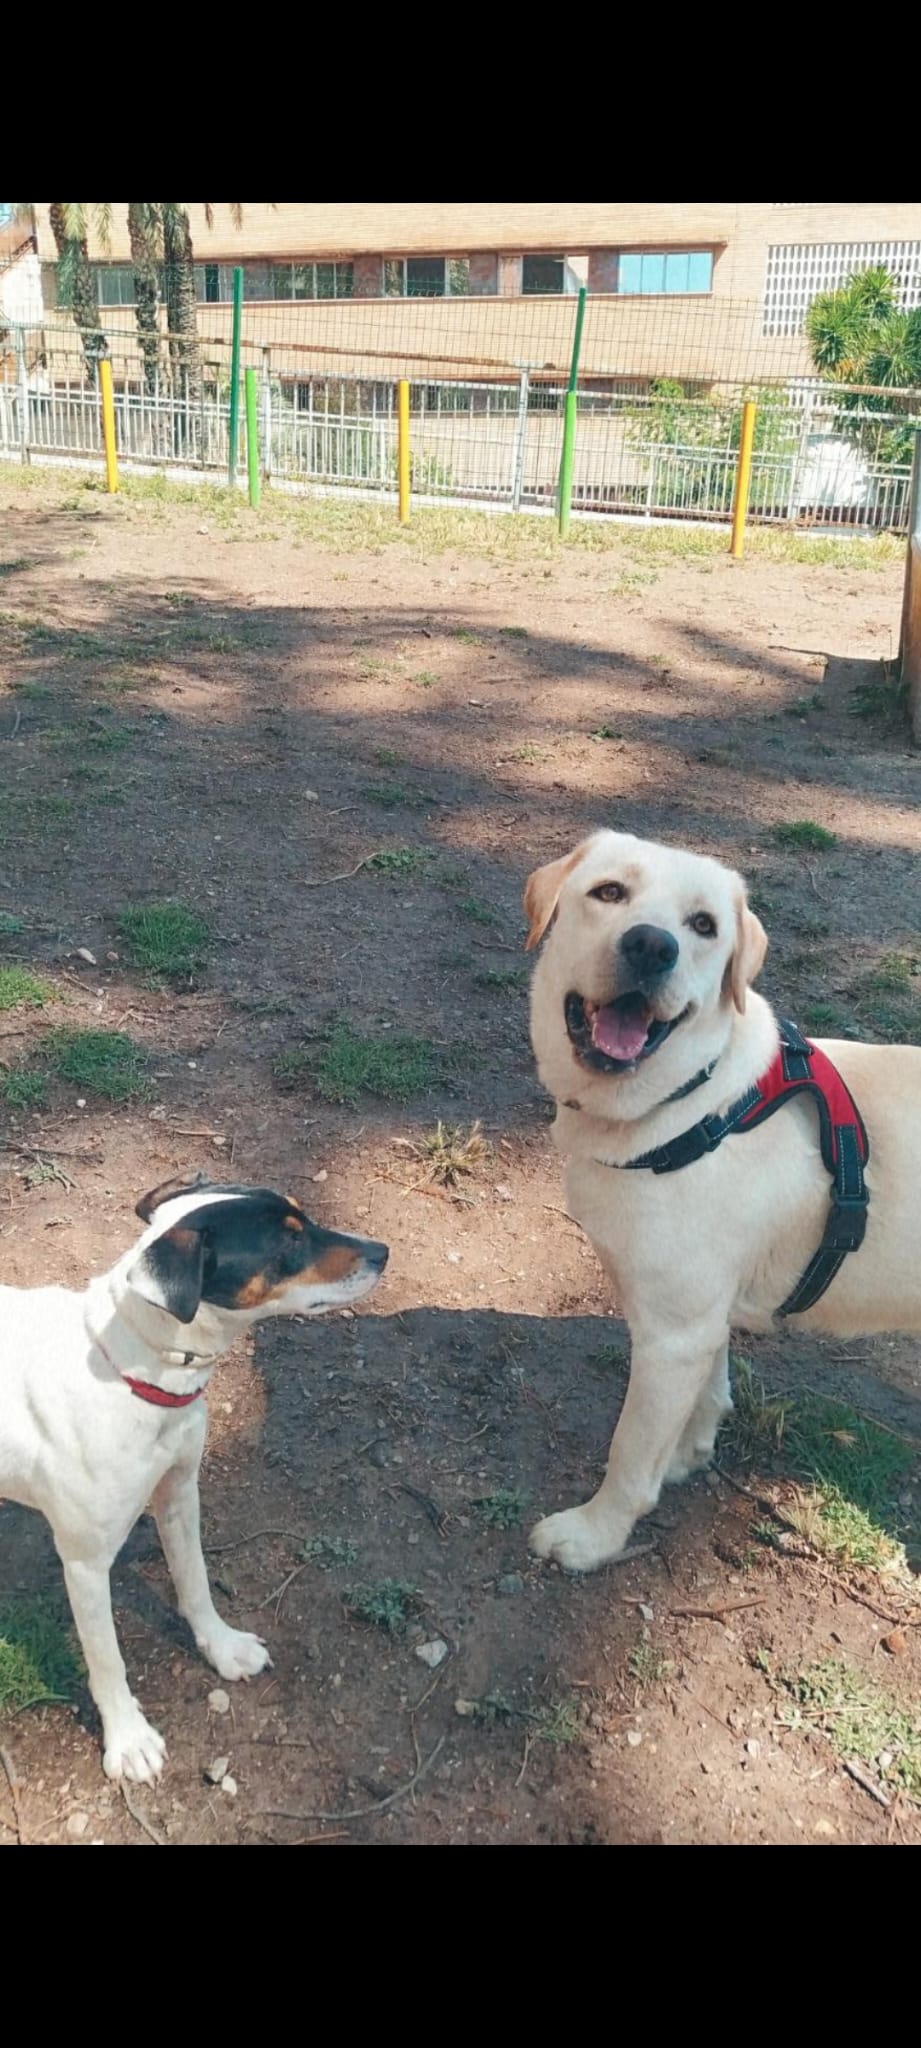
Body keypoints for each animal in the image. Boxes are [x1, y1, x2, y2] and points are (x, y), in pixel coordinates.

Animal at [0, 1179, 386, 1785]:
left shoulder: (180, 1494)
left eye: (304, 1220)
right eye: (288, 1241)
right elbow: (107, 1659)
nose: (382, 1252)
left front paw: (221, 1647)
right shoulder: (85, 1563)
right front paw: (128, 1738)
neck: (132, 1373)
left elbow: (195, 1582)